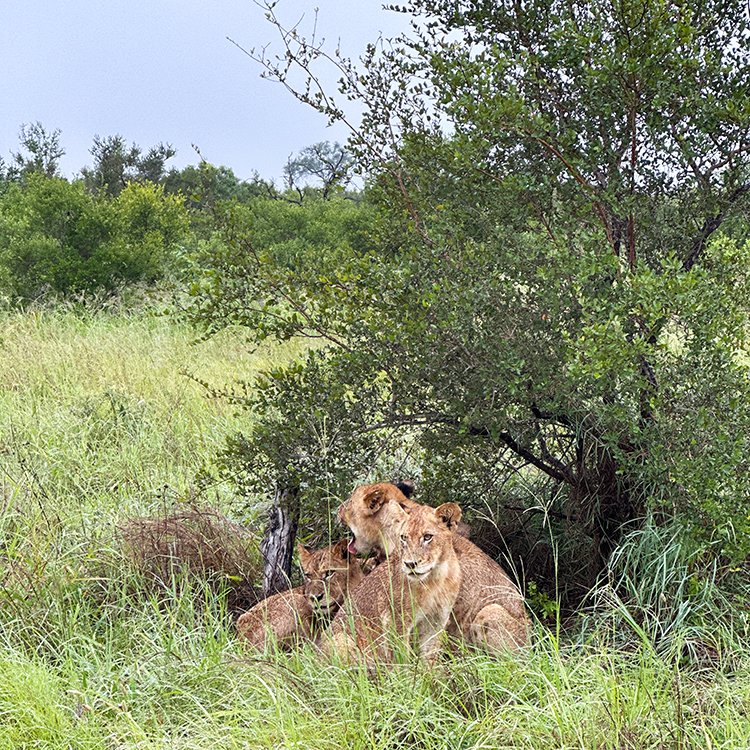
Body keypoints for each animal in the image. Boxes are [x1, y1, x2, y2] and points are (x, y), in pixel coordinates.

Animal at [322, 501, 463, 667]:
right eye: (404, 537)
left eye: (427, 537)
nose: (410, 564)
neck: (434, 579)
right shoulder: (396, 621)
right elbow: (401, 658)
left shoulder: (436, 622)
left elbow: (429, 659)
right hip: (341, 639)